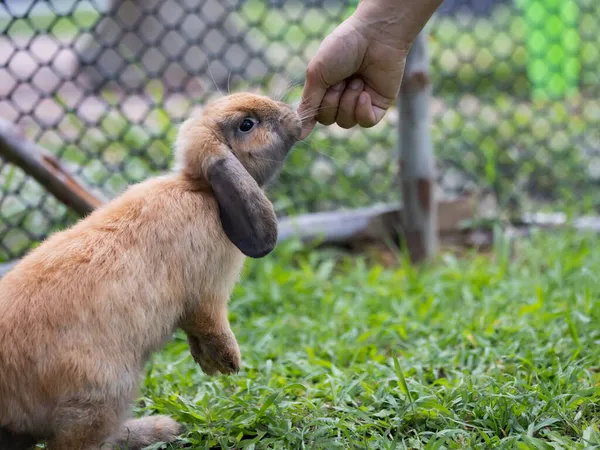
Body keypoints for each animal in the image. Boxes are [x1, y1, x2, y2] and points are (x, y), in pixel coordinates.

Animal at [0, 92, 302, 450]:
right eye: (247, 124)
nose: (292, 116)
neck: (202, 191)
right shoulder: (207, 296)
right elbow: (211, 326)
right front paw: (227, 364)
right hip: (104, 394)